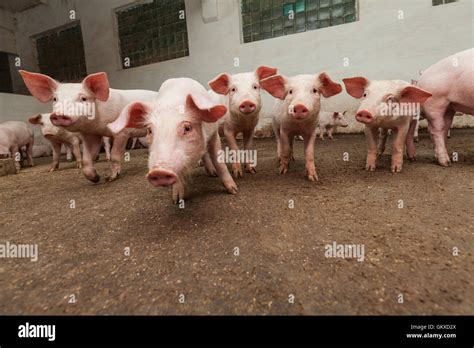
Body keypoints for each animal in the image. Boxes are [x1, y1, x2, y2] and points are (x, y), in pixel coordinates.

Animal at [19, 70, 157, 182]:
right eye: (54, 99)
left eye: (83, 98)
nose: (58, 115)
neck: (97, 125)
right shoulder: (90, 135)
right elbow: (86, 158)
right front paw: (95, 178)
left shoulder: (121, 132)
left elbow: (115, 155)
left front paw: (110, 178)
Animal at [107, 77, 237, 203]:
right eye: (149, 130)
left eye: (187, 128)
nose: (159, 171)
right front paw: (177, 200)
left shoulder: (214, 133)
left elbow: (219, 162)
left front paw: (233, 190)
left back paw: (213, 174)